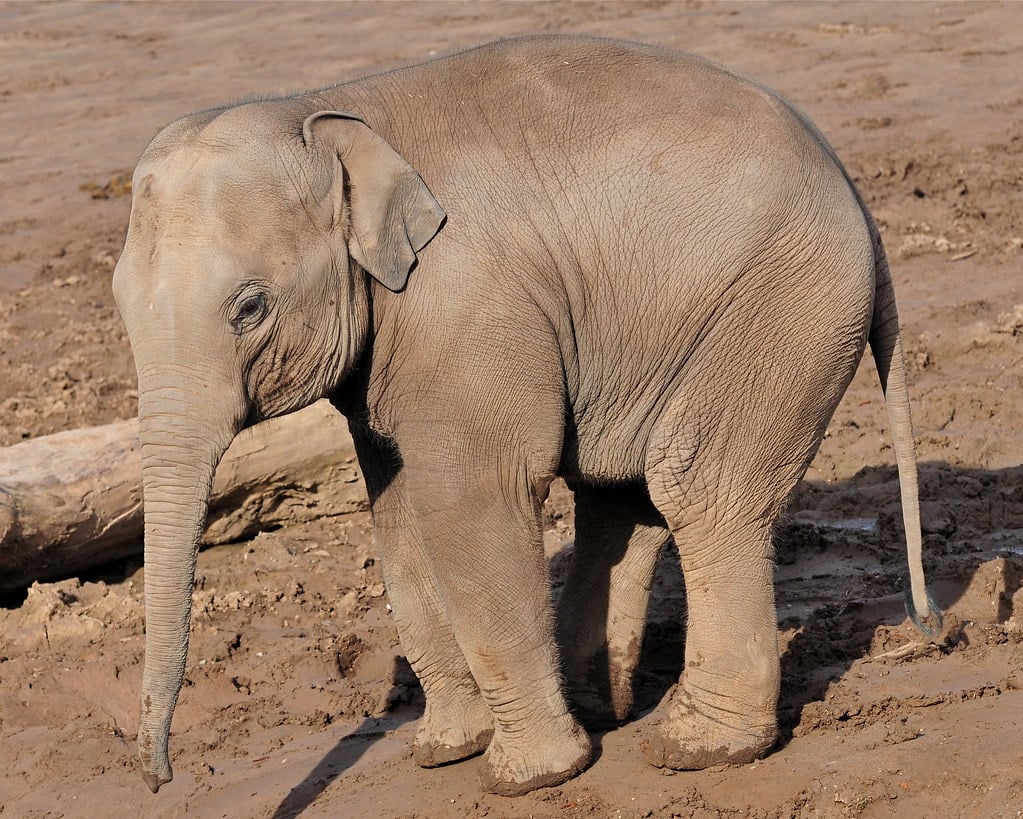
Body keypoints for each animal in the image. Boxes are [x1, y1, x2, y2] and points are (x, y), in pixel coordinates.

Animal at [112, 34, 939, 797]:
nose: (159, 776)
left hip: (780, 306)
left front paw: (528, 776)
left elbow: (469, 498)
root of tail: (850, 187)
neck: (325, 110)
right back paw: (599, 709)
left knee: (698, 485)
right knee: (622, 496)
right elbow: (399, 512)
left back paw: (696, 748)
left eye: (249, 307)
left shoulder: (468, 306)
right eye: (119, 300)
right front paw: (447, 748)